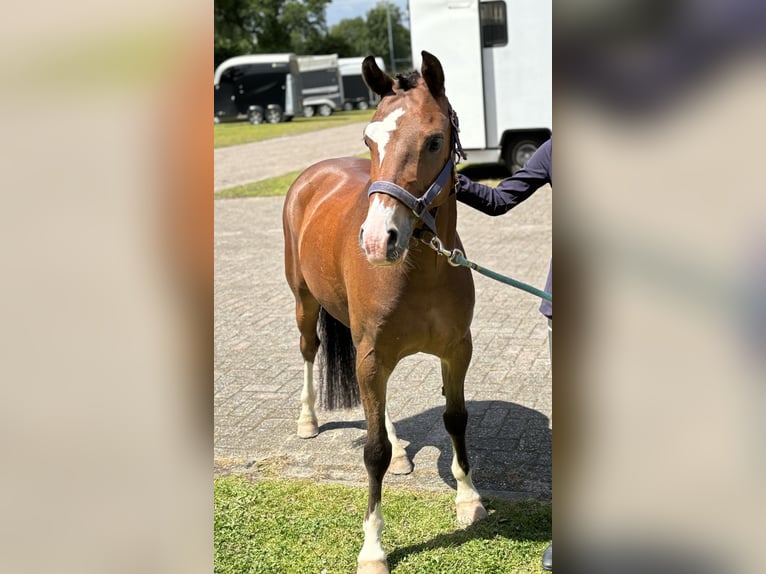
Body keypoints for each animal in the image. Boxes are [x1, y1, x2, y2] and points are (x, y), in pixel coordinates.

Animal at [284, 51, 488, 574]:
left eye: (434, 140)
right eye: (368, 139)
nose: (378, 240)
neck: (424, 270)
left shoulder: (456, 351)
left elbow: (456, 420)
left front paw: (468, 498)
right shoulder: (372, 355)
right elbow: (371, 451)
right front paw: (373, 548)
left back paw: (400, 452)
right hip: (305, 302)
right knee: (309, 351)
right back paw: (308, 421)